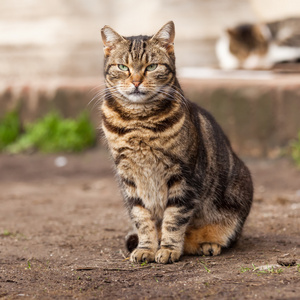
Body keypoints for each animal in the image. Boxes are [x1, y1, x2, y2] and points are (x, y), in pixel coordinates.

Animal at [101, 21, 253, 264]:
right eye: (123, 67)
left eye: (152, 67)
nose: (136, 81)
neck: (138, 121)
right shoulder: (129, 177)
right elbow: (142, 218)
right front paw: (146, 248)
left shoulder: (183, 175)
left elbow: (174, 218)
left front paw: (168, 249)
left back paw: (207, 245)